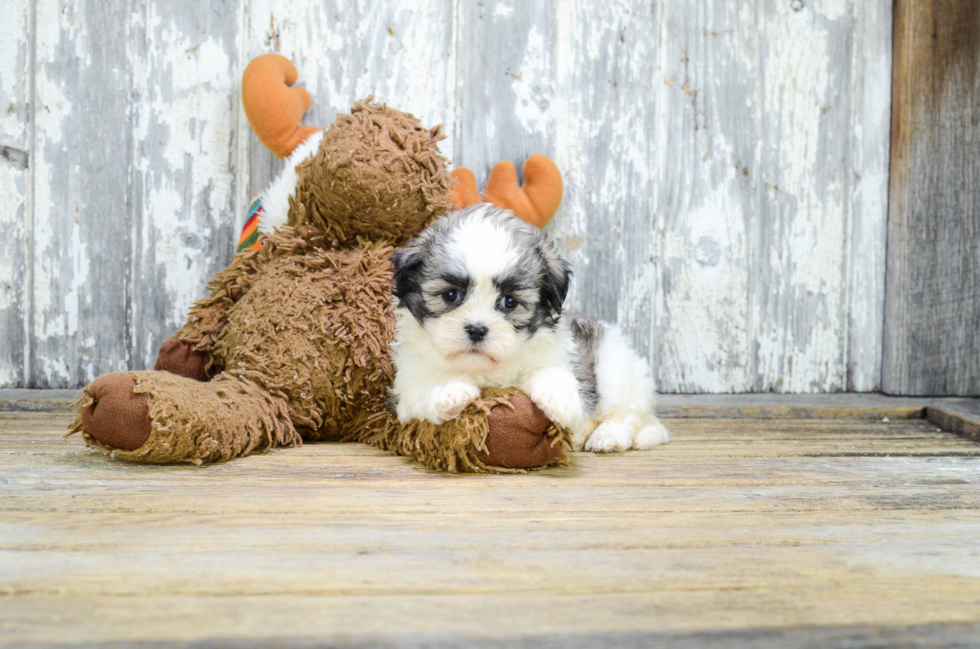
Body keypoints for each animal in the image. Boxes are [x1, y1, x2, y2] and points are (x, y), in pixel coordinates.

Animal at [388, 205, 668, 454]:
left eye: (509, 302)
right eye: (450, 295)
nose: (477, 330)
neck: (485, 368)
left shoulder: (554, 354)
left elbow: (553, 373)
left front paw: (563, 402)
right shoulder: (407, 384)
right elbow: (423, 385)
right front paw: (450, 391)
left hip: (615, 370)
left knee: (625, 415)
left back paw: (607, 437)